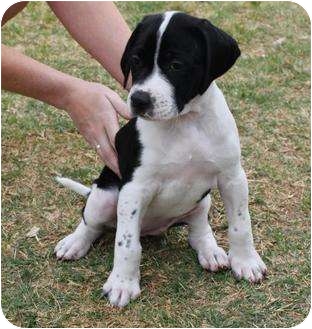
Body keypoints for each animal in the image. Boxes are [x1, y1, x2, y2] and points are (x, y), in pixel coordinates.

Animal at [53, 10, 266, 308]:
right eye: (135, 60)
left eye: (176, 65)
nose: (139, 100)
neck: (184, 122)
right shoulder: (134, 189)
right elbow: (127, 243)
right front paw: (122, 284)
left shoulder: (232, 177)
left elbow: (241, 224)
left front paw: (245, 262)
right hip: (105, 196)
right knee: (91, 222)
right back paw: (74, 242)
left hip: (203, 199)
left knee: (198, 227)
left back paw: (210, 250)